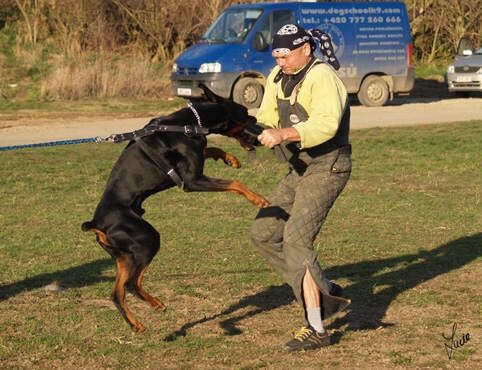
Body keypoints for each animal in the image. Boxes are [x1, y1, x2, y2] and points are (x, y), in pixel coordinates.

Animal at [81, 84, 270, 332]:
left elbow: (211, 148)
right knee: (132, 283)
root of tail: (97, 223)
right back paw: (155, 303)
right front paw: (258, 199)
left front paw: (230, 158)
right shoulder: (192, 181)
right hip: (147, 239)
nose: (257, 120)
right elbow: (235, 183)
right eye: (245, 113)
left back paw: (136, 323)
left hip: (123, 256)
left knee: (117, 293)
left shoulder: (195, 161)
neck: (190, 124)